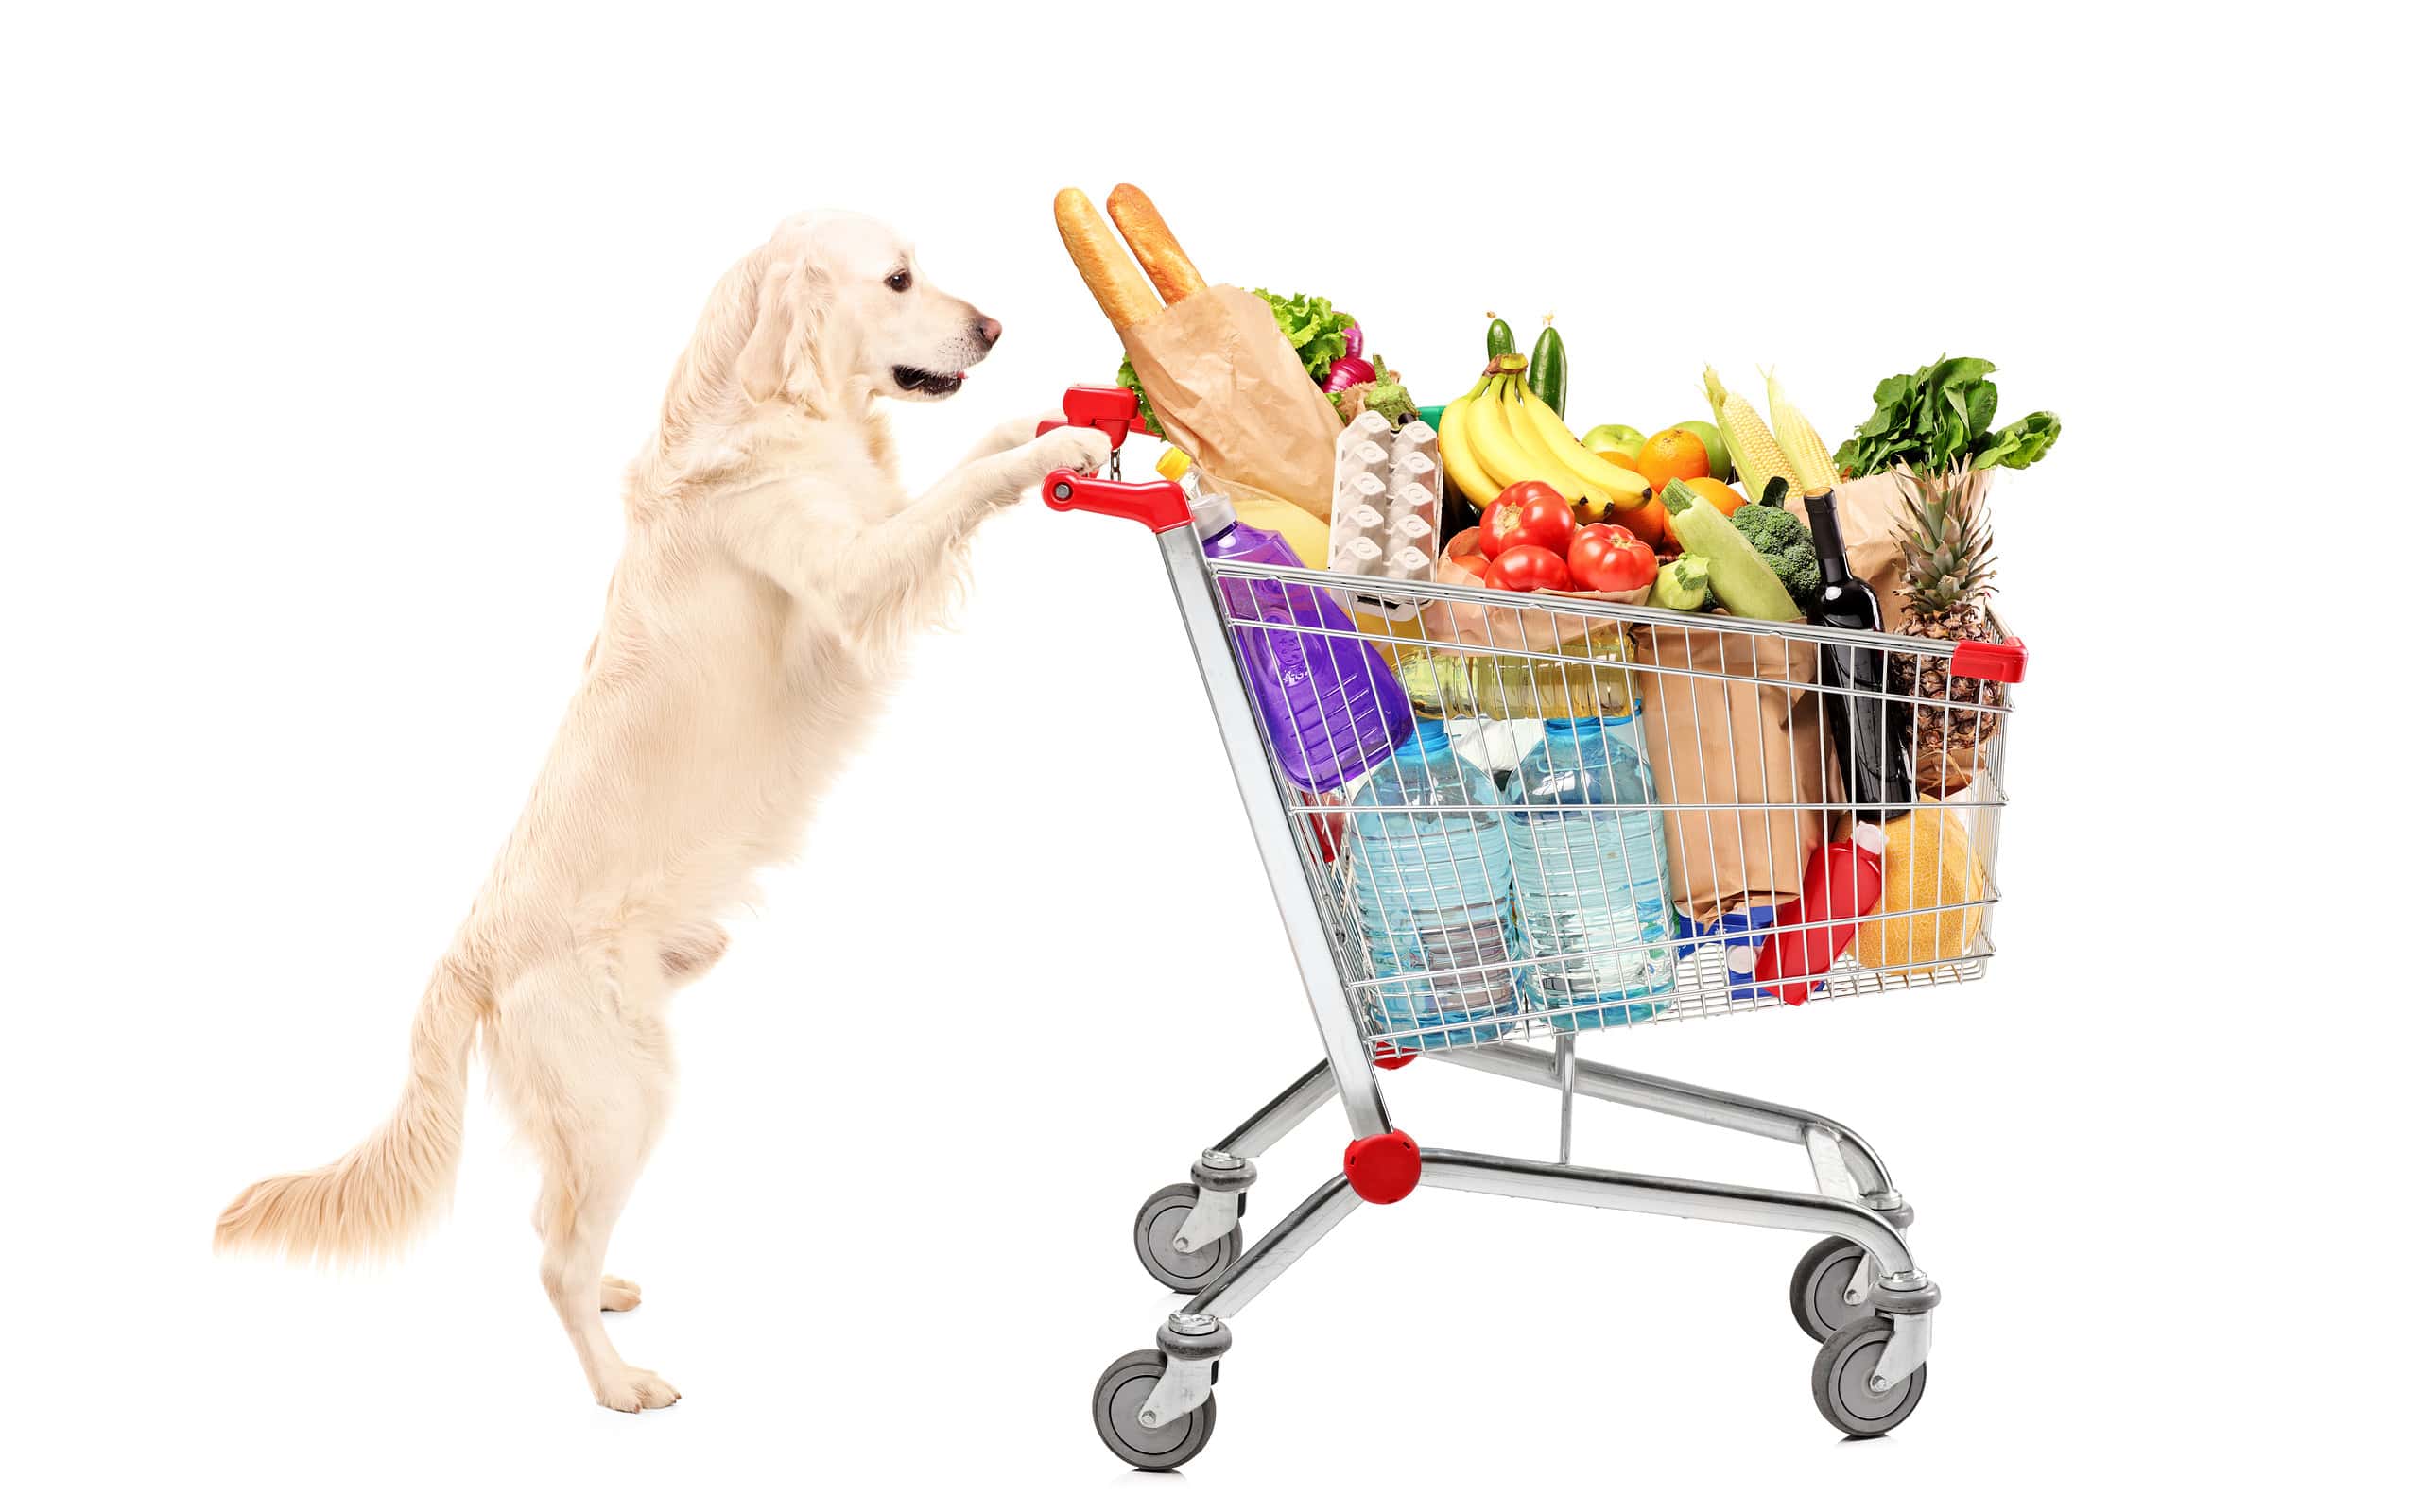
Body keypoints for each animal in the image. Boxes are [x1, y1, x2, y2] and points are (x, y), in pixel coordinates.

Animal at [213, 209, 1108, 1402]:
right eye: (898, 280)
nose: (996, 327)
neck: (769, 406)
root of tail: (466, 959)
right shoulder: (851, 573)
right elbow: (960, 493)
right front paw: (1050, 454)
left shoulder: (874, 517)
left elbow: (959, 464)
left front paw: (1042, 420)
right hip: (622, 1091)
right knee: (552, 1254)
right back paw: (621, 1383)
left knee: (552, 1223)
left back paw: (611, 1295)